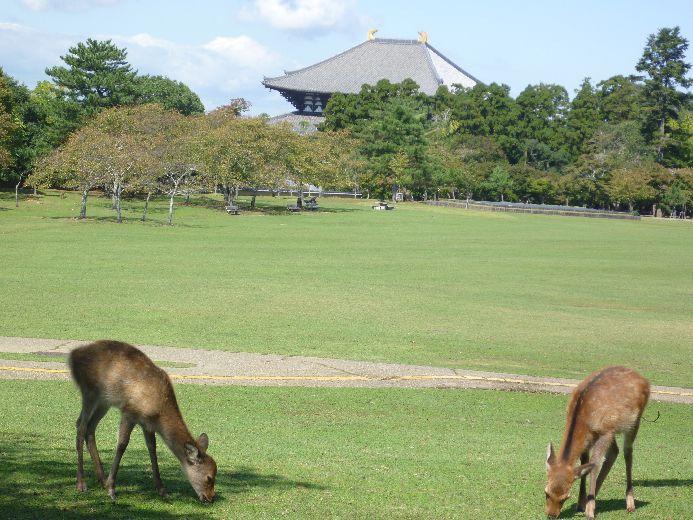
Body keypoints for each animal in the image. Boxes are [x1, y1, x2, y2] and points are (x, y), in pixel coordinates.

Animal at [70, 340, 216, 502]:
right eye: (209, 478)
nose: (210, 498)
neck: (159, 411)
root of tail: (72, 356)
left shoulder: (147, 424)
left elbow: (152, 448)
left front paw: (162, 489)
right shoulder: (129, 412)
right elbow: (122, 445)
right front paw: (111, 489)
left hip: (104, 401)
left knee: (90, 428)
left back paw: (102, 480)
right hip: (89, 392)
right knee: (80, 426)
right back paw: (81, 483)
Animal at [548, 366, 648, 520]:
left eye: (565, 497)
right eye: (546, 493)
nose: (551, 515)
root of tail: (644, 380)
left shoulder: (604, 433)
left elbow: (594, 464)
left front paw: (589, 511)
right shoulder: (593, 436)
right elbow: (585, 463)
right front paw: (581, 503)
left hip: (634, 422)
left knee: (627, 453)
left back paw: (630, 504)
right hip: (611, 430)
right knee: (614, 452)